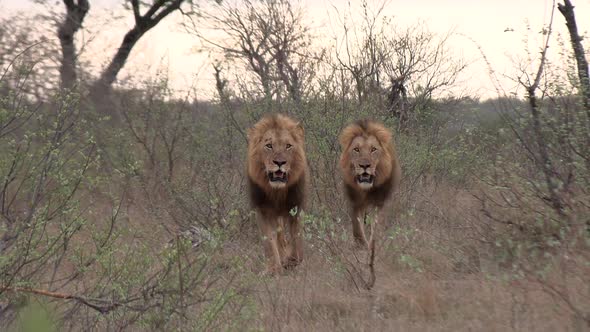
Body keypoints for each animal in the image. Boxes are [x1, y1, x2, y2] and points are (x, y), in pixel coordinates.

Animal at [246, 113, 308, 274]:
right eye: (269, 146)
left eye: (288, 146)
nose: (279, 162)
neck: (277, 192)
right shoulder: (262, 211)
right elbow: (269, 241)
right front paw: (273, 269)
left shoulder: (295, 207)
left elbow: (296, 237)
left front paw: (292, 261)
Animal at [342, 120, 402, 249]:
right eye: (356, 149)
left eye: (373, 149)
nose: (365, 165)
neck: (367, 190)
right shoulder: (355, 202)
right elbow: (357, 227)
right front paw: (362, 245)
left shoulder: (380, 202)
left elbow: (376, 225)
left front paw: (374, 244)